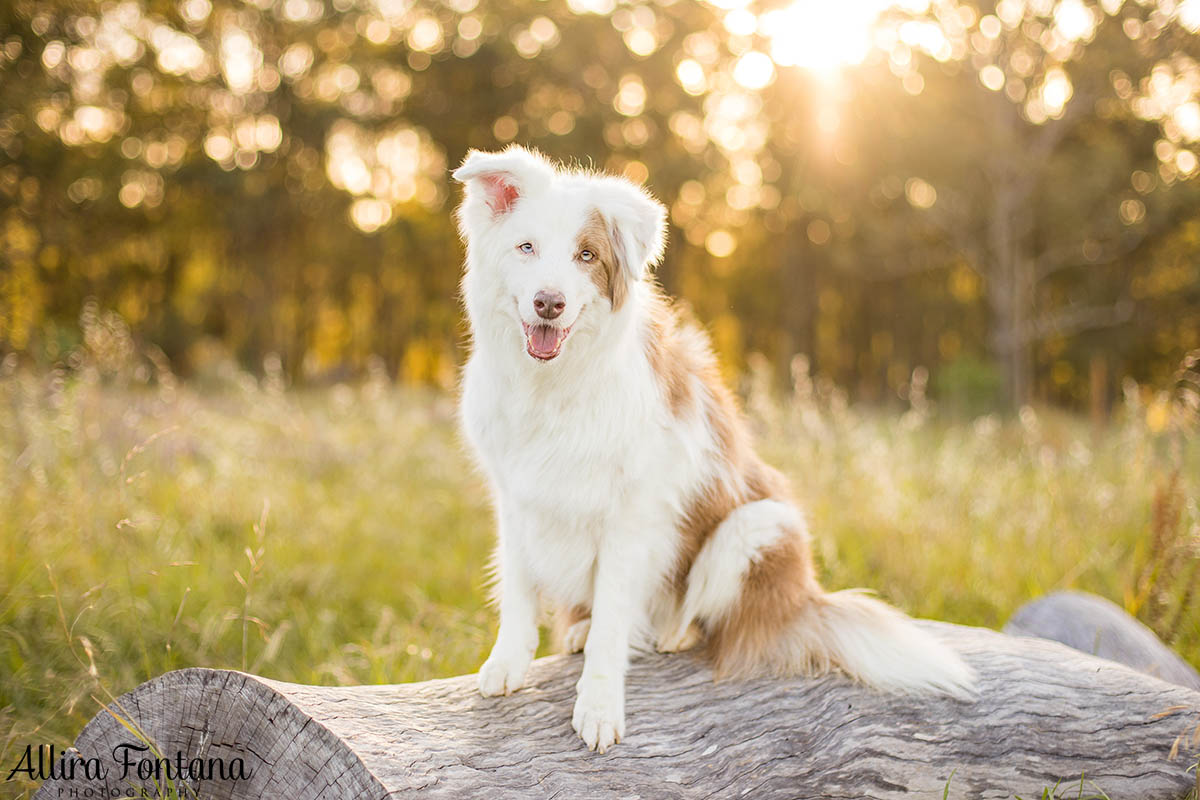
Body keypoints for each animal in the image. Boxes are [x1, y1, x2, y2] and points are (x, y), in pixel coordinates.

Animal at [451, 146, 974, 753]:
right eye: (526, 247)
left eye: (587, 255)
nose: (549, 303)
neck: (551, 389)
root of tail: (804, 601)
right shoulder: (514, 499)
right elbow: (518, 591)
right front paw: (508, 664)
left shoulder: (632, 516)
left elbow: (612, 621)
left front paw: (600, 704)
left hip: (758, 527)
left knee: (704, 619)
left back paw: (667, 635)